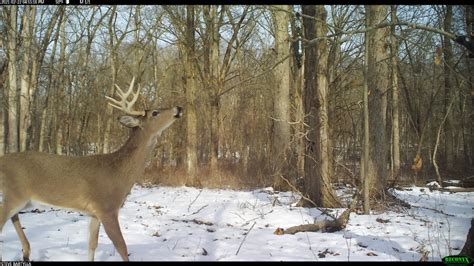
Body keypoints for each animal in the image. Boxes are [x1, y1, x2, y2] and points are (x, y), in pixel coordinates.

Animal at [0, 76, 183, 260]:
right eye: (155, 113)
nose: (179, 108)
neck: (118, 172)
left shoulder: (94, 212)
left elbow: (92, 244)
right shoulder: (107, 208)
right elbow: (122, 247)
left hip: (24, 200)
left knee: (13, 217)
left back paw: (26, 251)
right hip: (15, 193)